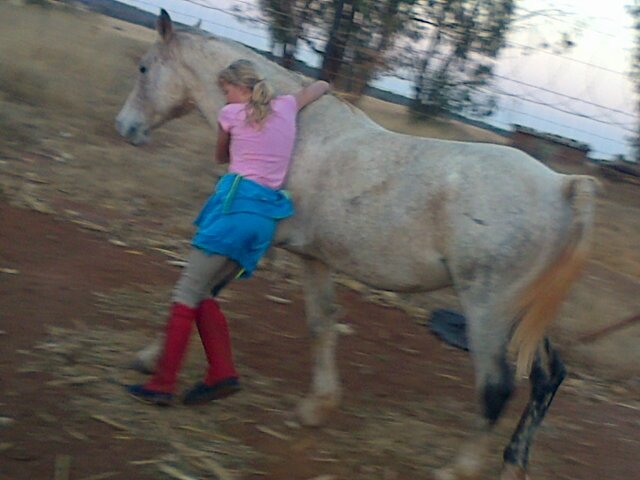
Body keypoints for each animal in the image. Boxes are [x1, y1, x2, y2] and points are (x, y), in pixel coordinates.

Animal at [116, 10, 598, 480]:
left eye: (144, 68)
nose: (125, 127)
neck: (293, 132)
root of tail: (561, 188)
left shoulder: (251, 244)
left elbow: (199, 294)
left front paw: (148, 359)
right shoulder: (313, 257)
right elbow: (321, 324)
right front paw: (317, 407)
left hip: (487, 309)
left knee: (497, 386)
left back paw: (458, 468)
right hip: (519, 314)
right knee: (548, 377)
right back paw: (513, 464)